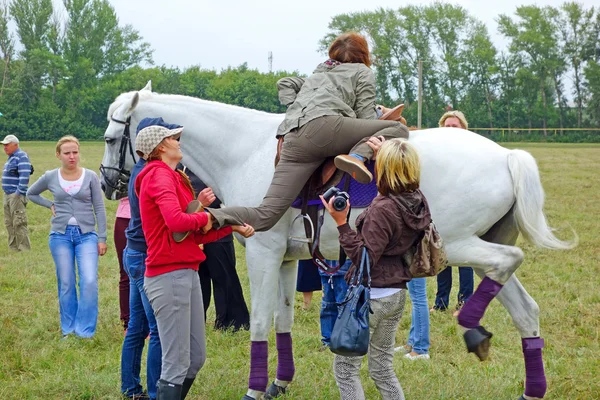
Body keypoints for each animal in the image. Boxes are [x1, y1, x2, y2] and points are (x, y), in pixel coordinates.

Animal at [101, 82, 576, 400]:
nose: (109, 183)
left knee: (507, 260)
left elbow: (260, 322)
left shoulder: (262, 253)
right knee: (525, 309)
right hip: (473, 251)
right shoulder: (288, 260)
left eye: (109, 138)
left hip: (456, 246)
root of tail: (505, 154)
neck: (246, 149)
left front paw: (255, 389)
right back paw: (528, 385)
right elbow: (284, 320)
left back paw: (472, 324)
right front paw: (279, 382)